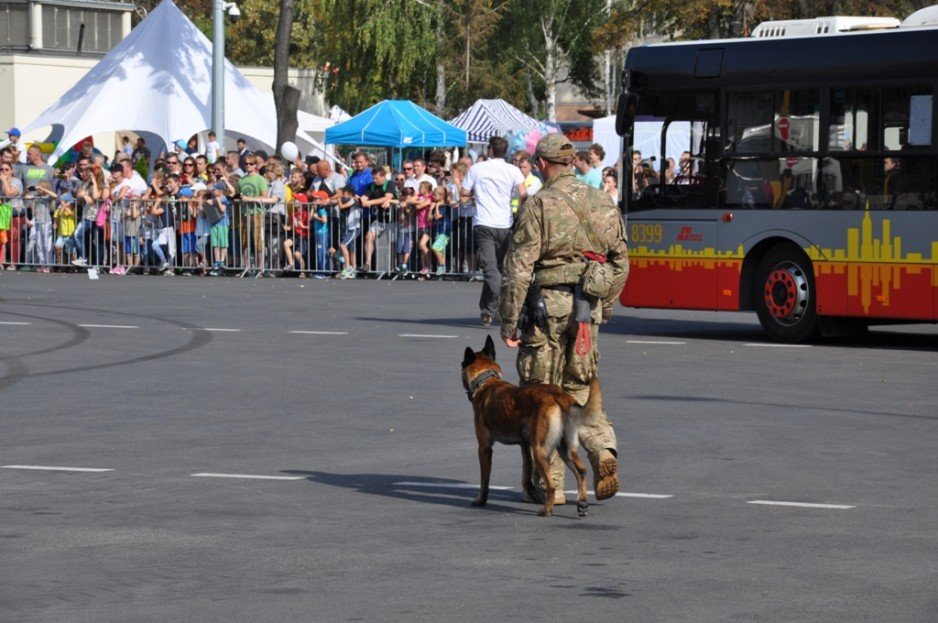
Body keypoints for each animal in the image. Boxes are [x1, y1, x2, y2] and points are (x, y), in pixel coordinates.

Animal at [460, 336, 592, 516]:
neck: (486, 381)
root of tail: (557, 395)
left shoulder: (484, 448)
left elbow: (484, 480)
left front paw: (481, 500)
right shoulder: (525, 445)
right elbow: (527, 472)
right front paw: (532, 492)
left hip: (540, 450)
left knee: (552, 485)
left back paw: (546, 510)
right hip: (565, 449)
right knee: (582, 472)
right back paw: (582, 503)